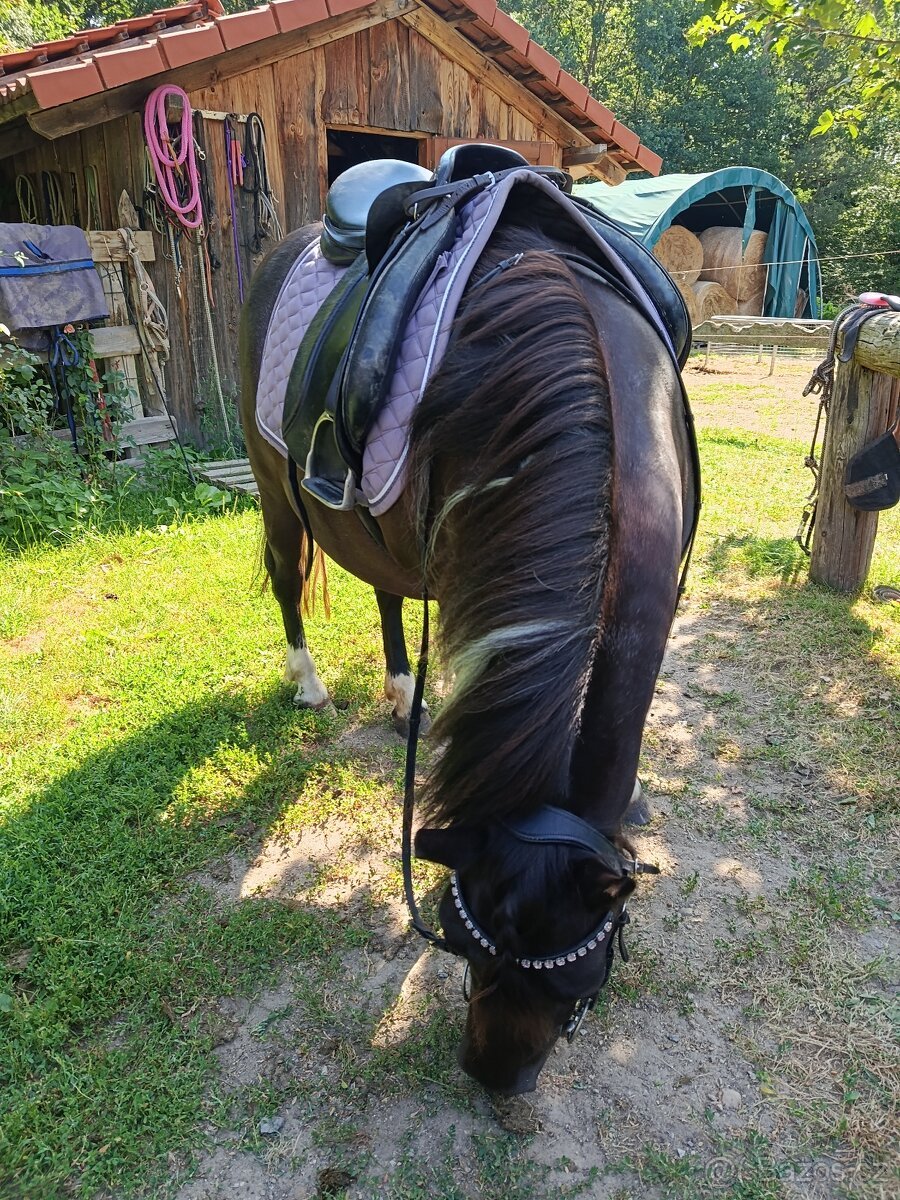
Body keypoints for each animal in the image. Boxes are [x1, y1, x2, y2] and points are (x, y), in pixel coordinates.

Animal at [238, 157, 698, 1095]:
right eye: (464, 947)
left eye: (579, 981)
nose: (495, 1080)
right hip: (274, 485)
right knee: (285, 577)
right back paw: (312, 688)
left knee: (383, 592)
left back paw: (399, 692)